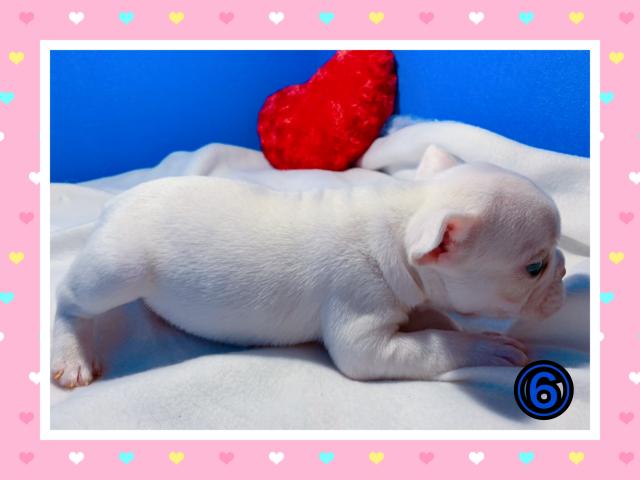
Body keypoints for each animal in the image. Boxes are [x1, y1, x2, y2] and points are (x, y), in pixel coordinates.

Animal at [51, 145, 565, 388]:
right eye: (535, 267)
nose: (563, 269)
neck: (398, 224)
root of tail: (116, 203)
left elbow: (433, 317)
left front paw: (451, 324)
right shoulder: (361, 322)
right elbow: (426, 346)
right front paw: (484, 347)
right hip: (119, 268)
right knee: (71, 300)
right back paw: (72, 355)